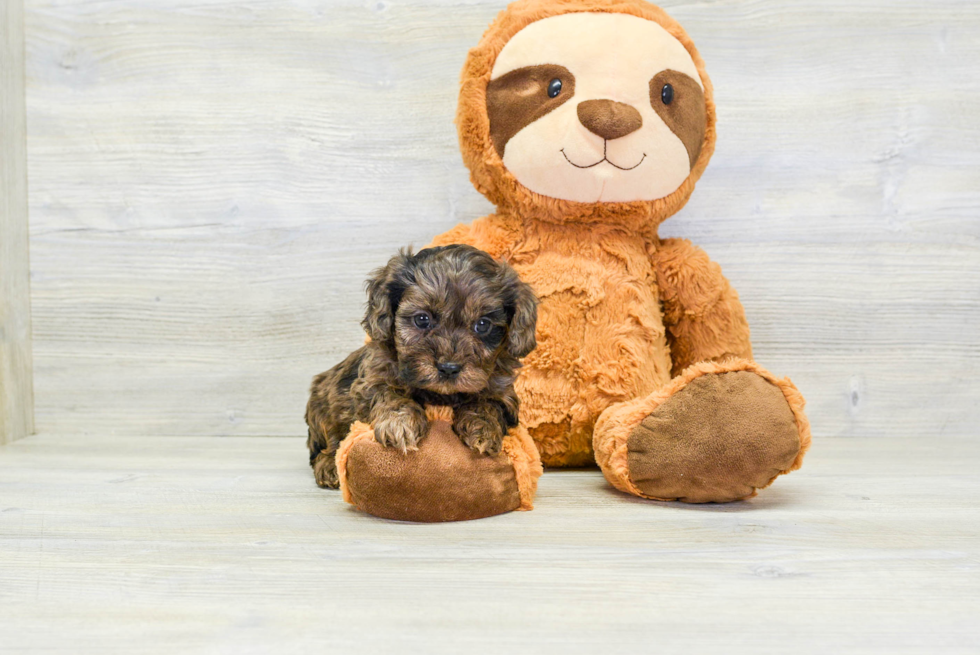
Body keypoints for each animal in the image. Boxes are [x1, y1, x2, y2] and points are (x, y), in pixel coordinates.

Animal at [304, 245, 536, 486]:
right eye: (422, 319)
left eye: (482, 325)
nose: (448, 368)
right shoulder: (371, 379)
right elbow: (390, 394)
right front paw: (399, 424)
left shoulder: (504, 394)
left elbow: (487, 404)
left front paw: (483, 430)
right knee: (327, 444)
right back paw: (329, 465)